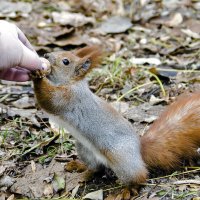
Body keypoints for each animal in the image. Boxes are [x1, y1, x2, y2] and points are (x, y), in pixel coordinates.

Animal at [29, 45, 200, 184]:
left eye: (65, 61)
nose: (46, 54)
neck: (72, 83)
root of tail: (139, 149)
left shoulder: (68, 98)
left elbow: (49, 100)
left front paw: (37, 75)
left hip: (119, 157)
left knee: (139, 177)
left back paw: (125, 191)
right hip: (84, 149)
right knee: (96, 168)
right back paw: (80, 167)